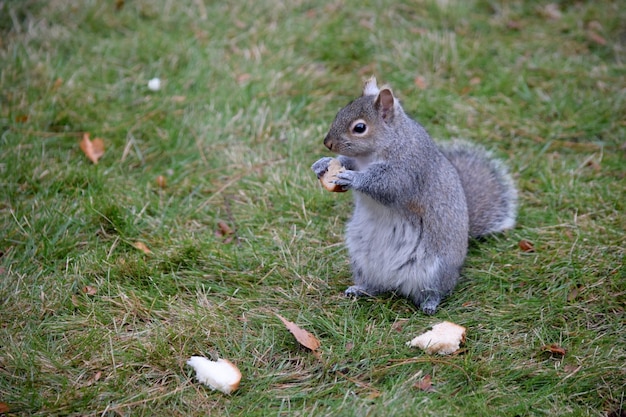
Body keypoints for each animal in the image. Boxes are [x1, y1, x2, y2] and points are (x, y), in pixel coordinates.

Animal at [310, 76, 516, 314]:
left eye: (359, 127)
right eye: (340, 111)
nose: (327, 143)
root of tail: (394, 283)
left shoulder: (408, 168)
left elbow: (388, 185)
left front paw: (352, 179)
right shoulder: (357, 161)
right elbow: (345, 161)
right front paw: (322, 164)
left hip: (435, 270)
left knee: (435, 291)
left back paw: (429, 304)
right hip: (361, 260)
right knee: (374, 285)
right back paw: (361, 289)